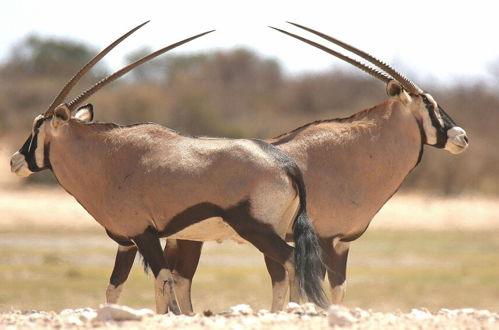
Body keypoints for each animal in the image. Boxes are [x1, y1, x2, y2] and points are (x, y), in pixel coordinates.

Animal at [8, 21, 328, 314]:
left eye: (37, 127)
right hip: (272, 230)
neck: (106, 157)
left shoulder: (144, 234)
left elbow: (163, 281)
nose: (14, 161)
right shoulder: (127, 242)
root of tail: (286, 164)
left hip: (256, 229)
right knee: (281, 272)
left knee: (290, 261)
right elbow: (116, 287)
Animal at [104, 21, 468, 314]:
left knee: (178, 277)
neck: (354, 152)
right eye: (430, 104)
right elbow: (327, 289)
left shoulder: (340, 243)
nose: (462, 137)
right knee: (179, 278)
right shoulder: (328, 240)